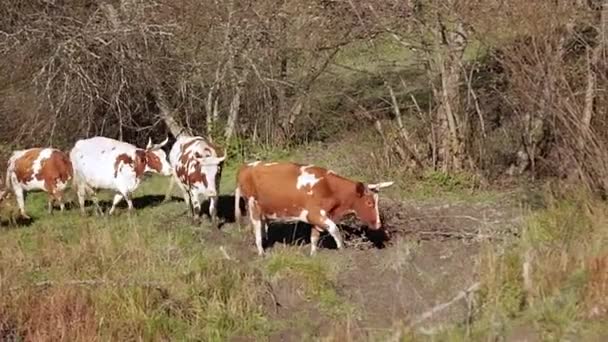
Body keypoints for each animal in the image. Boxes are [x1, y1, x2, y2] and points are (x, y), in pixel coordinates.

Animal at [233, 162, 394, 255]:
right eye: (369, 203)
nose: (378, 224)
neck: (329, 188)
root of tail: (246, 166)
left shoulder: (319, 217)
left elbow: (314, 237)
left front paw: (313, 255)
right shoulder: (315, 214)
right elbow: (335, 229)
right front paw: (342, 250)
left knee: (263, 225)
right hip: (253, 205)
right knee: (256, 227)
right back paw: (261, 251)